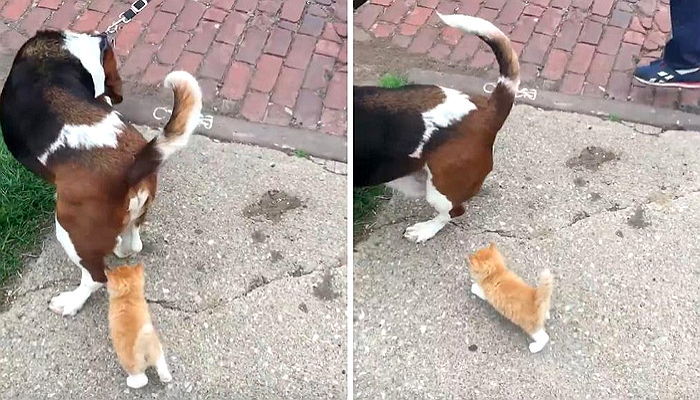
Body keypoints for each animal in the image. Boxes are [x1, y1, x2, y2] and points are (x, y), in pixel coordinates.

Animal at [0, 31, 202, 316]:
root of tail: (131, 166)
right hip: (133, 213)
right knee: (132, 245)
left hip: (69, 229)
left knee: (96, 277)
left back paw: (70, 302)